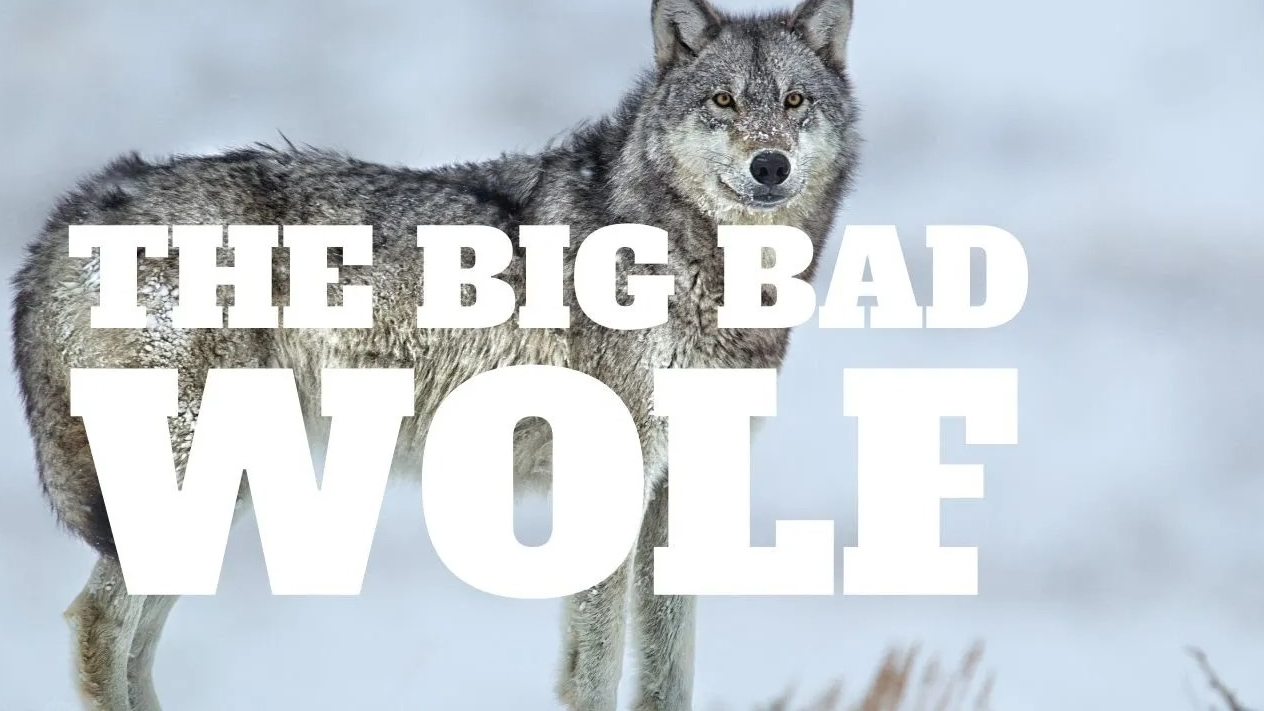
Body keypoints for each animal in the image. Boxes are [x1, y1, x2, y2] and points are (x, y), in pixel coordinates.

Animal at [9, 0, 859, 708]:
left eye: (794, 101)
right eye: (724, 102)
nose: (771, 165)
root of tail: (75, 209)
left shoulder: (678, 491)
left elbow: (666, 672)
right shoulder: (610, 479)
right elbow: (595, 668)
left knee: (136, 645)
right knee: (99, 623)